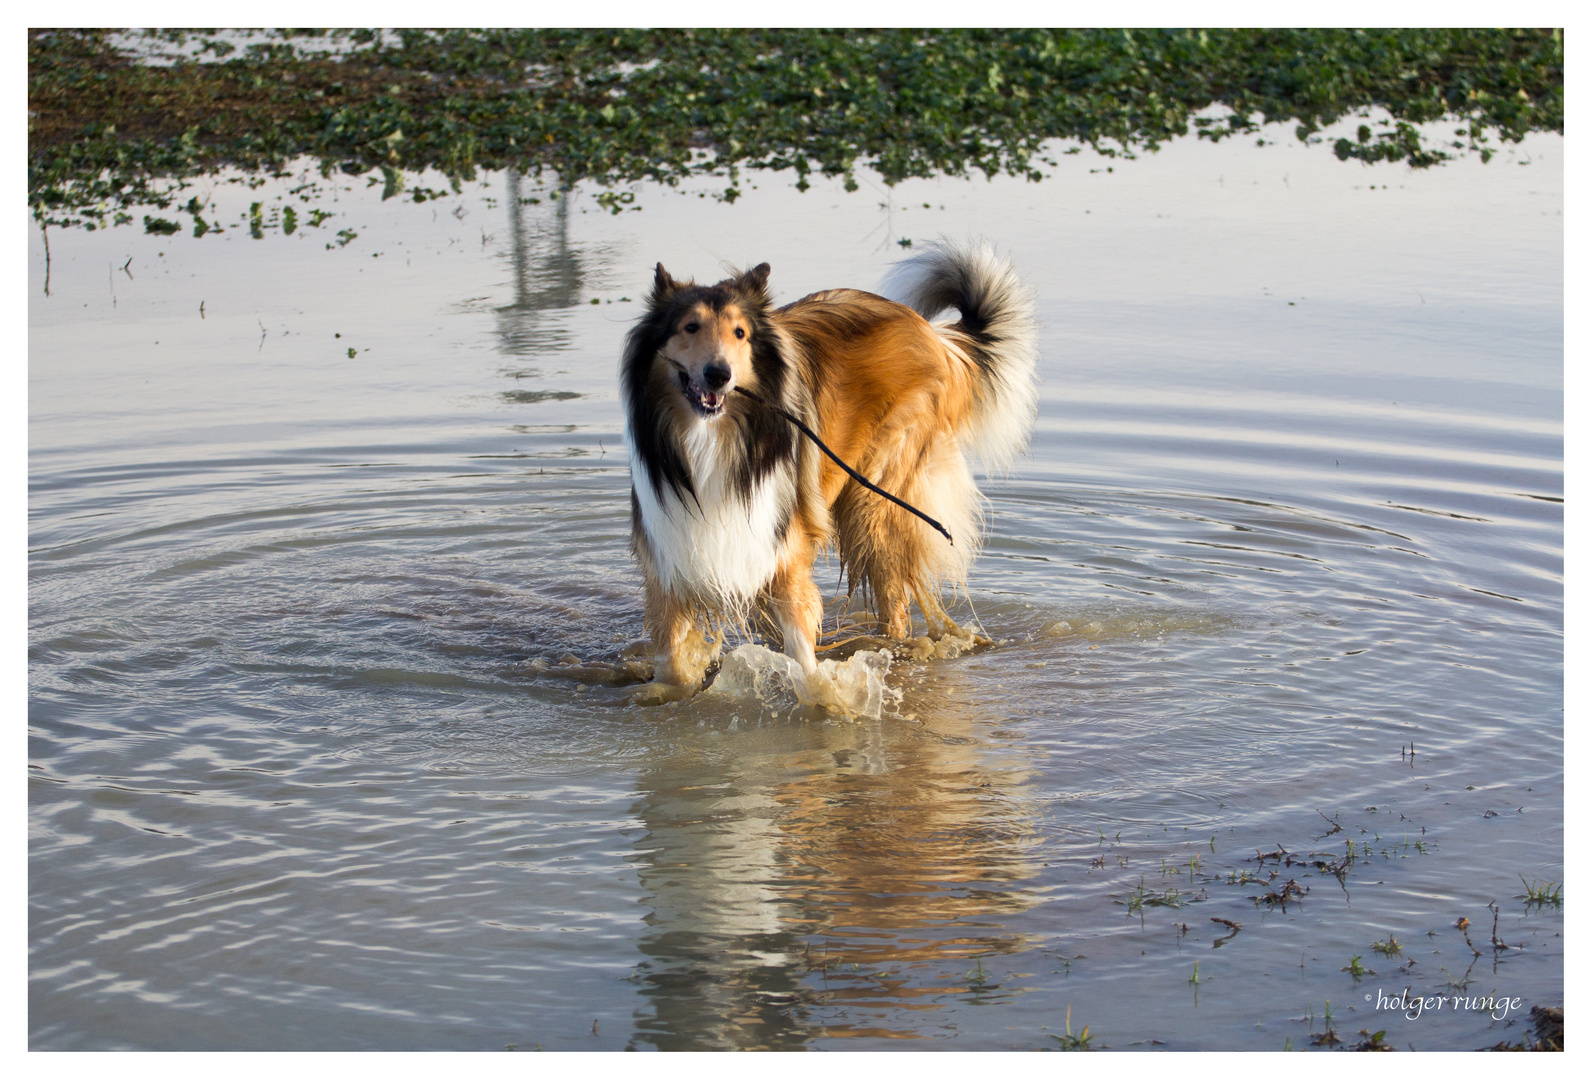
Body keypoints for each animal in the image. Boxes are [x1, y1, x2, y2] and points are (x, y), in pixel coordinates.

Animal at [620, 240, 1044, 694]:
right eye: (690, 327)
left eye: (740, 333)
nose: (719, 375)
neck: (717, 440)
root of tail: (931, 333)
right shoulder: (670, 563)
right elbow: (670, 662)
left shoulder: (785, 552)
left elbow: (802, 653)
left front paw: (823, 694)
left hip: (875, 503)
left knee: (896, 606)